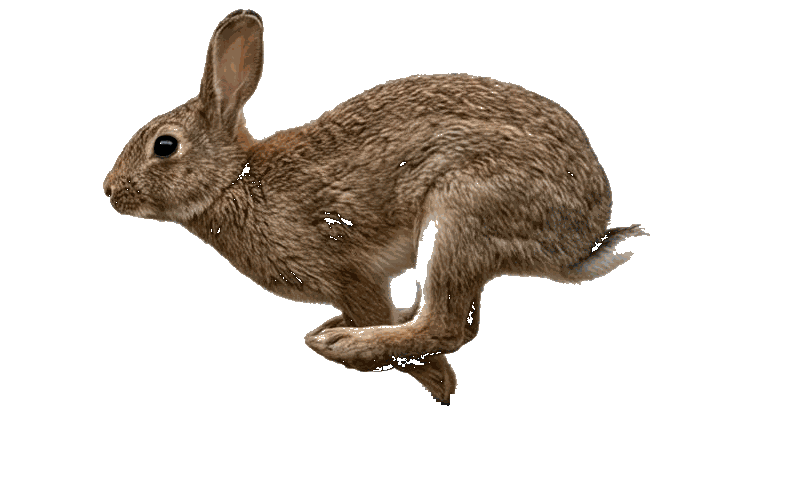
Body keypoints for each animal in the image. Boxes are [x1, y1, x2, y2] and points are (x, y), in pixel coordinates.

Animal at [103, 9, 647, 403]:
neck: (235, 179)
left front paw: (423, 374)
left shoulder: (346, 273)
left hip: (464, 214)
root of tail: (585, 236)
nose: (109, 190)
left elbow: (376, 307)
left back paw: (350, 346)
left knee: (447, 324)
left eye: (165, 146)